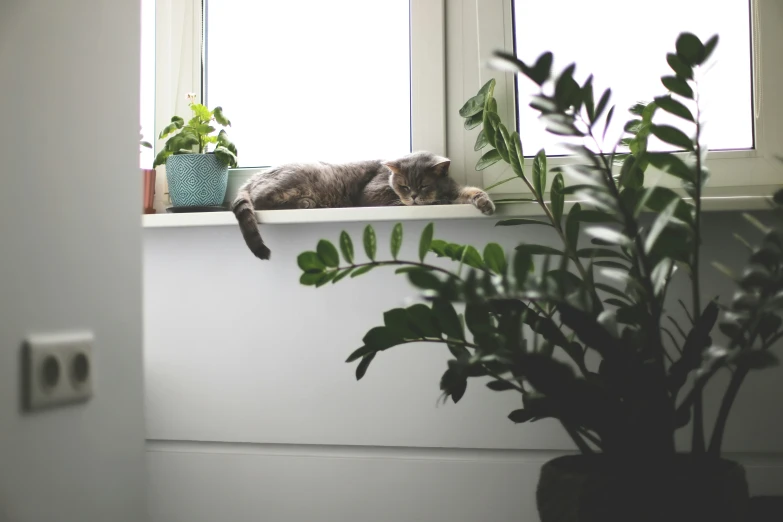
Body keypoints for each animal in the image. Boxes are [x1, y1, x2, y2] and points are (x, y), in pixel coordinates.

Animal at [230, 149, 496, 258]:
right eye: (404, 186)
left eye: (423, 185)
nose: (413, 196)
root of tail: (251, 178)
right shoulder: (373, 194)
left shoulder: (455, 188)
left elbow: (471, 192)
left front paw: (485, 203)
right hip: (296, 179)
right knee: (261, 200)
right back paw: (306, 203)